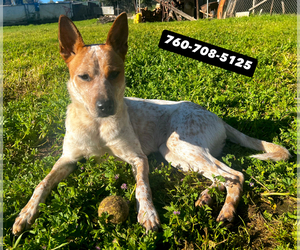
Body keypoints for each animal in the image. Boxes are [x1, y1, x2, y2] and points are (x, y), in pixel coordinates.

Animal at [12, 12, 290, 234]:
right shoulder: (67, 159)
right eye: (83, 77)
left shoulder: (137, 158)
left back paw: (227, 211)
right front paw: (25, 214)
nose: (105, 107)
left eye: (115, 73)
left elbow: (142, 187)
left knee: (235, 176)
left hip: (179, 146)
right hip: (175, 154)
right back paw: (206, 199)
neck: (96, 126)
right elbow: (42, 184)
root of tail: (215, 116)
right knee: (220, 177)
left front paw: (147, 214)